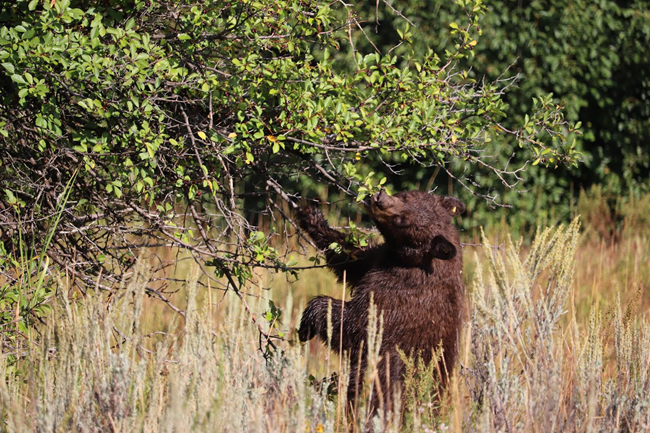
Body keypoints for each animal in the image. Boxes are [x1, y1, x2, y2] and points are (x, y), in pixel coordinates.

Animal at [296, 189, 464, 416]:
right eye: (407, 195)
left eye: (403, 221)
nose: (379, 198)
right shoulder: (381, 259)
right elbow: (352, 257)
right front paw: (311, 216)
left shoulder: (397, 297)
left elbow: (358, 325)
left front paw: (307, 324)